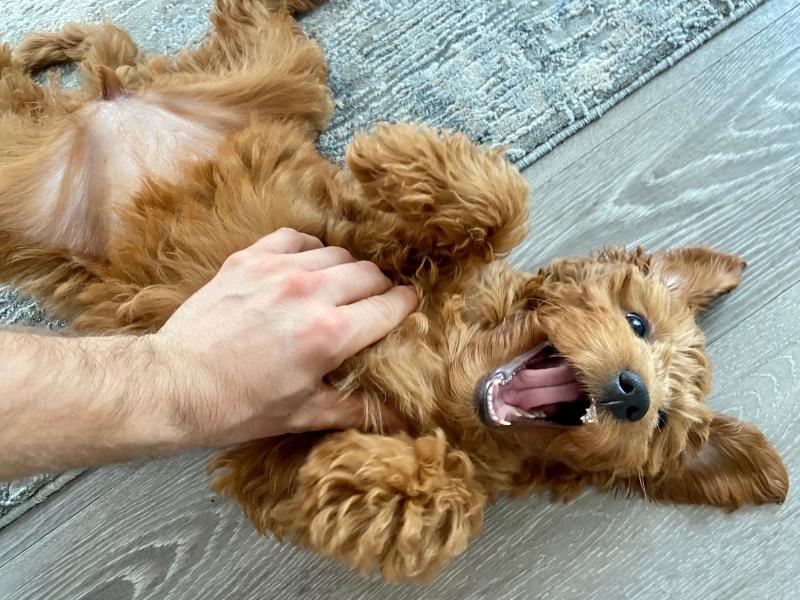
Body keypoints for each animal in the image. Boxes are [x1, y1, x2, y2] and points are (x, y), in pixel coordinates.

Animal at [0, 0, 788, 580]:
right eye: (637, 321)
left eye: (660, 424)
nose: (634, 393)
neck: (453, 370)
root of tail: (106, 102)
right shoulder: (342, 241)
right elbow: (494, 202)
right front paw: (410, 164)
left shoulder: (270, 453)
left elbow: (446, 504)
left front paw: (382, 485)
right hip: (276, 76)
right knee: (224, 21)